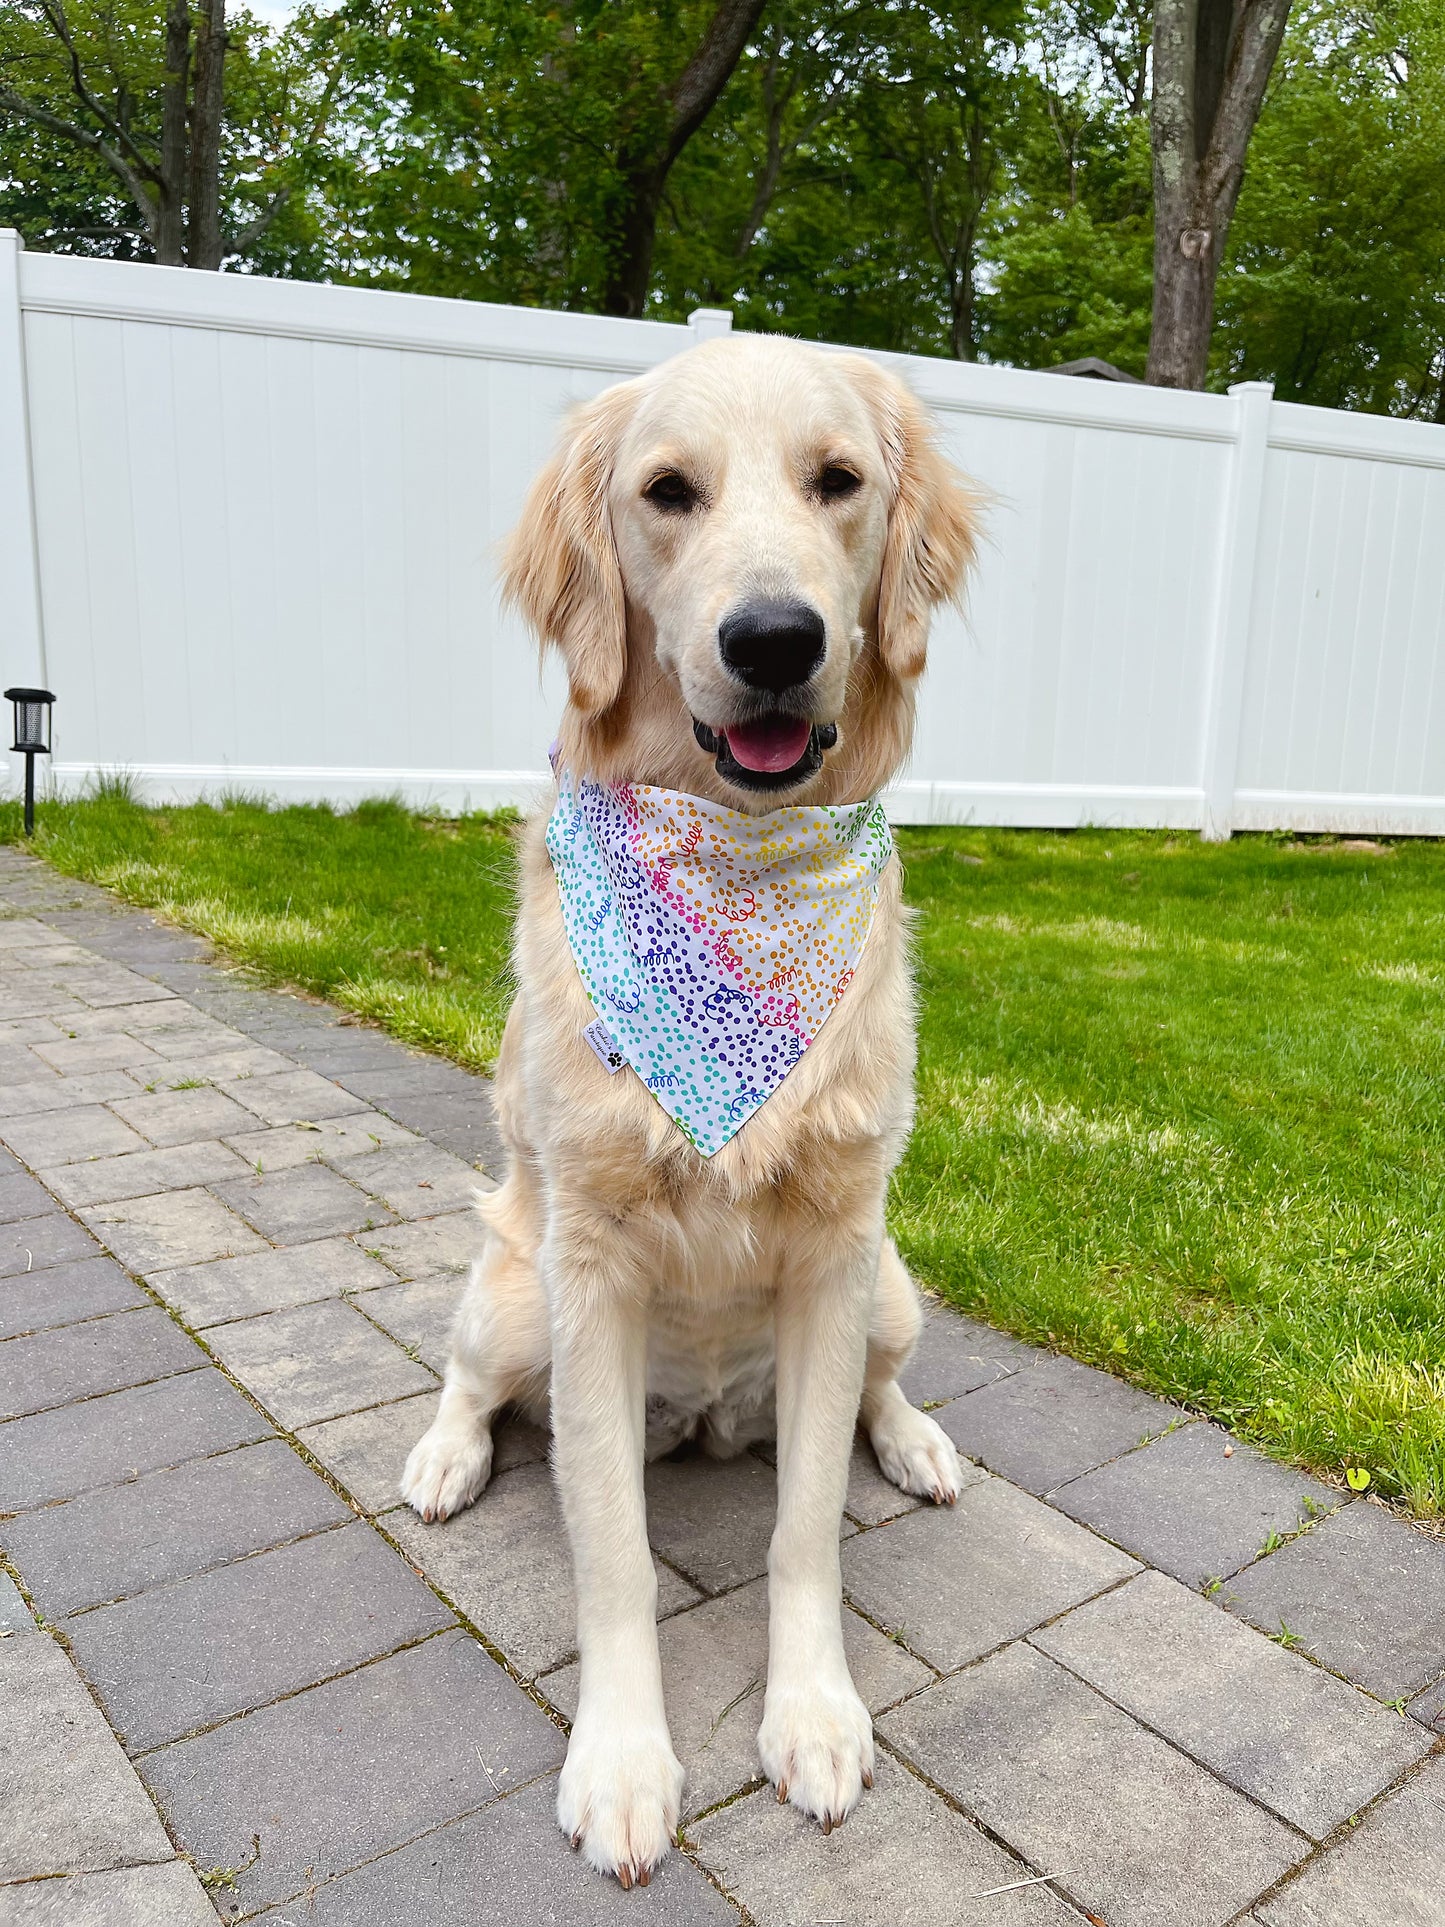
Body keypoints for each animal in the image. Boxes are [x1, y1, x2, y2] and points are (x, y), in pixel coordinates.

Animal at [402, 331, 978, 1880]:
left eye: (836, 481)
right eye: (668, 492)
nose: (774, 639)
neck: (738, 864)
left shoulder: (836, 1253)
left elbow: (805, 1534)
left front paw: (815, 1717)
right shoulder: (592, 1266)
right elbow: (608, 1548)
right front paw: (620, 1763)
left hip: (891, 1286)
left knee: (873, 1397)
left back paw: (915, 1442)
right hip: (515, 1292)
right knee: (470, 1378)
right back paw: (442, 1455)